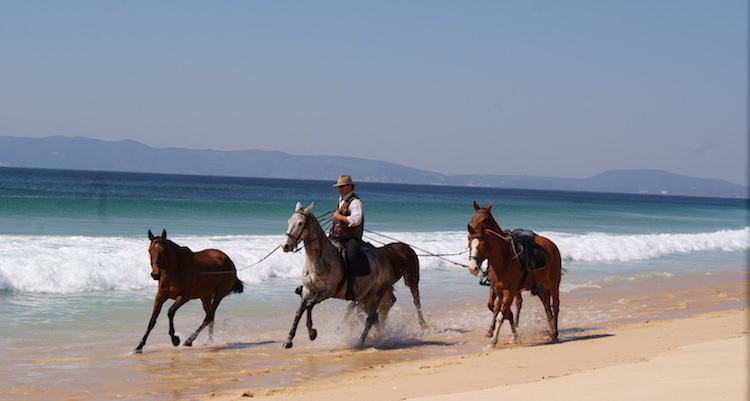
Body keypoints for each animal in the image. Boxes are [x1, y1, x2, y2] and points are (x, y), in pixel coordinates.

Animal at [280, 202, 399, 348]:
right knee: (375, 317)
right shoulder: (308, 290)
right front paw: (288, 340)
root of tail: (386, 261)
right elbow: (299, 312)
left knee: (370, 319)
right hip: (363, 299)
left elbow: (309, 305)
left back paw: (360, 342)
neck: (317, 259)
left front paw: (312, 333)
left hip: (376, 294)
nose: (286, 246)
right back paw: (379, 336)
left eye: (300, 223)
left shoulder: (326, 291)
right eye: (289, 221)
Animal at [467, 203, 562, 346]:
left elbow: (500, 313)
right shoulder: (498, 289)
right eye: (469, 244)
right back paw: (551, 329)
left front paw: (494, 339)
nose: (473, 267)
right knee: (546, 305)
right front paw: (512, 335)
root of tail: (552, 245)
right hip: (540, 286)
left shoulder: (509, 291)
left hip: (553, 283)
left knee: (554, 306)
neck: (504, 258)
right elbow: (501, 311)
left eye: (485, 220)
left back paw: (554, 333)